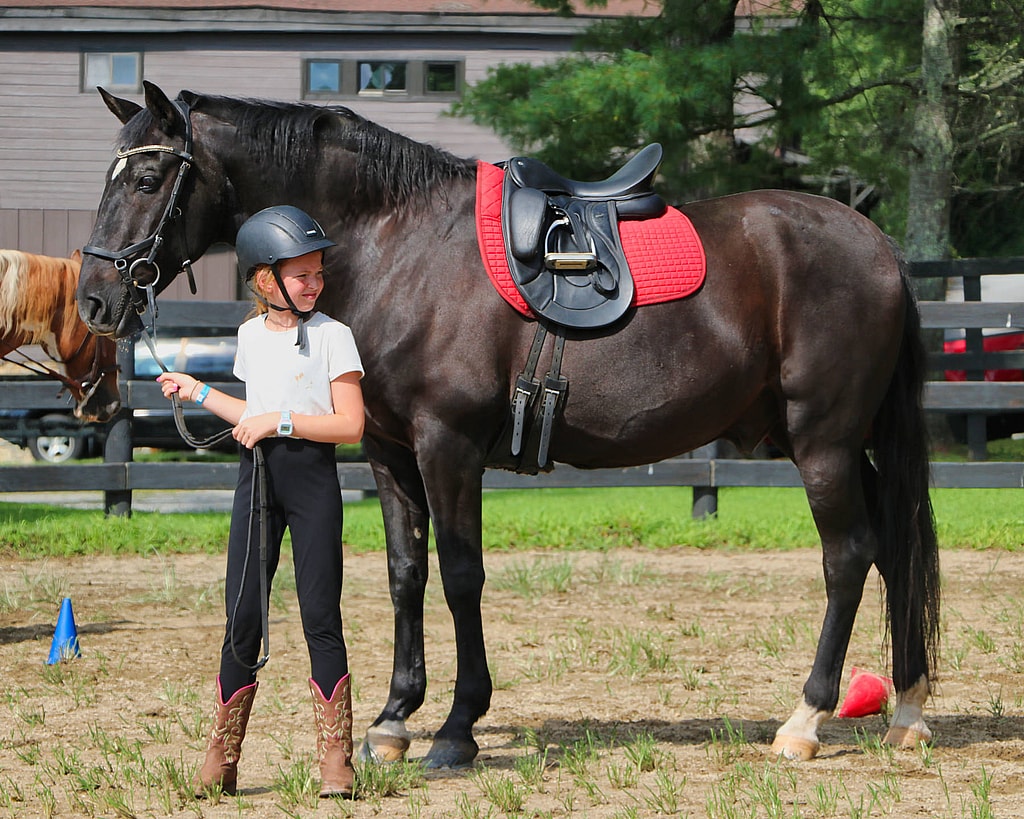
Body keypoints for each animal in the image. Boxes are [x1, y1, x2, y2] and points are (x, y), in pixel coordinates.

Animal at [75, 81, 937, 769]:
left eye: (148, 176)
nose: (94, 300)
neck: (397, 243)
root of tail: (878, 247)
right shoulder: (389, 450)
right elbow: (407, 574)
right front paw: (392, 719)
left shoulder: (447, 444)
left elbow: (462, 575)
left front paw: (457, 727)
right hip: (823, 441)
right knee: (891, 544)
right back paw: (908, 708)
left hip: (823, 441)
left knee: (847, 556)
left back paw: (806, 718)